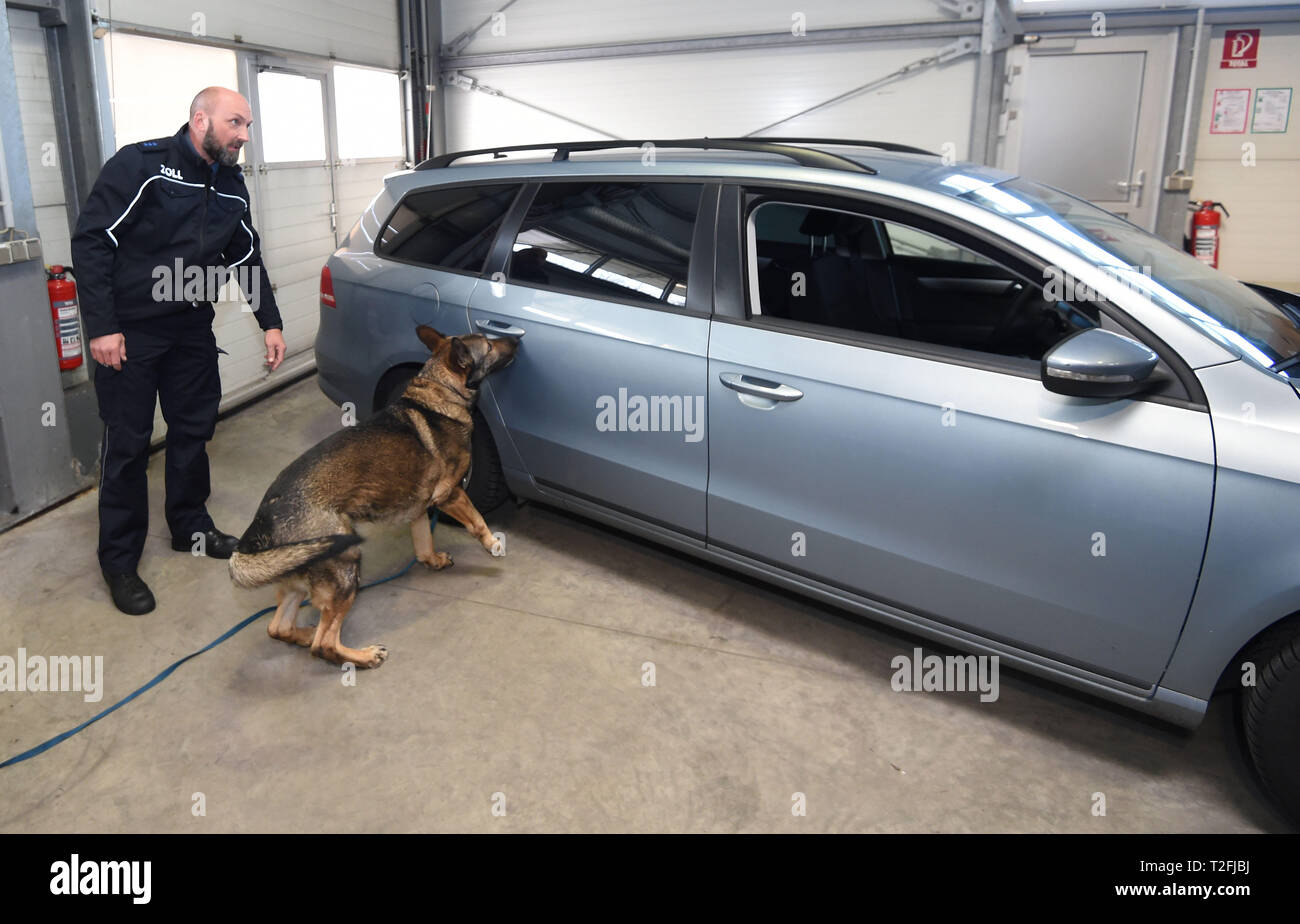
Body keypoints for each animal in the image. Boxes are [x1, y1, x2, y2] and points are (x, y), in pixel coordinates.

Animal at [228, 328, 517, 670]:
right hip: (346, 565)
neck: (438, 390)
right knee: (324, 645)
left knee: (278, 628)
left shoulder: (419, 508)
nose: (517, 340)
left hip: (297, 580)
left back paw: (304, 633)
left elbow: (423, 544)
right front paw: (494, 544)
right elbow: (477, 520)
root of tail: (265, 513)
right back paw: (363, 656)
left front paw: (432, 560)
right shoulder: (450, 493)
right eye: (488, 344)